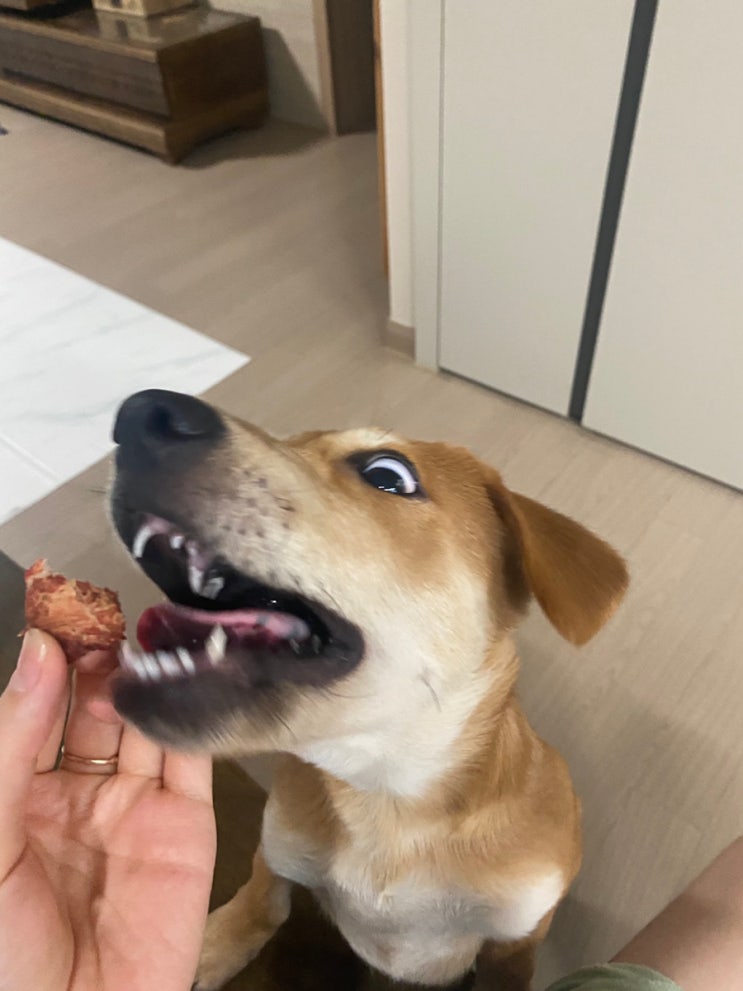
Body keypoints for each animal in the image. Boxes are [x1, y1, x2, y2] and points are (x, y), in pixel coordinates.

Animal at [110, 389, 628, 991]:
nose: (139, 412)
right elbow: (263, 900)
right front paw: (214, 945)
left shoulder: (517, 937)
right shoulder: (280, 844)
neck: (386, 804)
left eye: (387, 473)